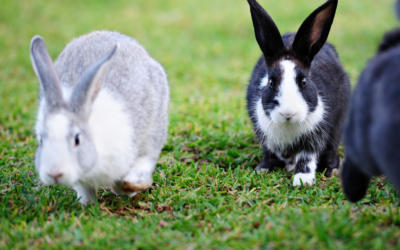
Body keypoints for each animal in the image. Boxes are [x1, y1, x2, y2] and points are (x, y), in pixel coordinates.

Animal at [30, 30, 169, 205]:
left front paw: (131, 187)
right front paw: (88, 205)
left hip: (153, 131)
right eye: (41, 140)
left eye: (77, 139)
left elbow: (125, 180)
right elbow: (86, 191)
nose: (54, 173)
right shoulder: (81, 181)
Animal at [245, 0, 352, 186]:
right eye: (271, 82)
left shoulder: (315, 137)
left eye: (303, 82)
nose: (288, 113)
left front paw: (302, 180)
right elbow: (270, 154)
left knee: (331, 149)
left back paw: (331, 170)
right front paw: (263, 170)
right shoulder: (265, 136)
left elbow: (307, 157)